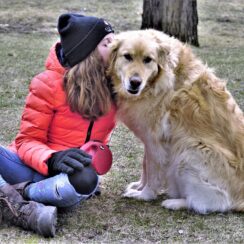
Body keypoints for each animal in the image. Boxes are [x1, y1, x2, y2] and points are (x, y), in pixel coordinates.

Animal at [108, 29, 244, 214]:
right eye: (127, 56)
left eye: (148, 60)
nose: (135, 83)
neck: (155, 83)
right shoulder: (149, 140)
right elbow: (145, 165)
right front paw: (139, 186)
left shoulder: (156, 140)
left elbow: (152, 171)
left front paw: (144, 194)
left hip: (189, 150)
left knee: (218, 201)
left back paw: (176, 202)